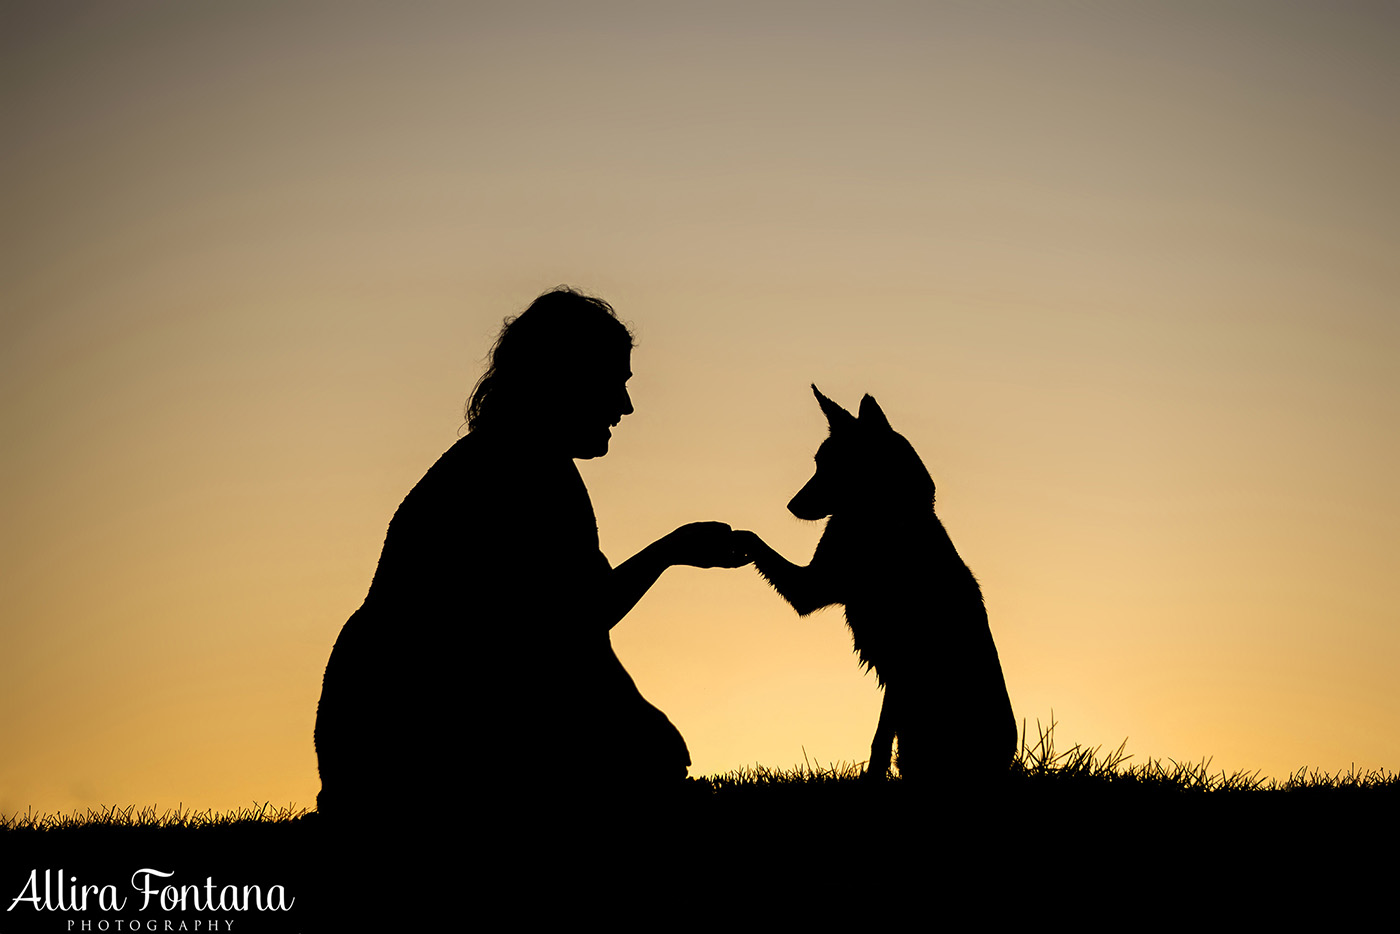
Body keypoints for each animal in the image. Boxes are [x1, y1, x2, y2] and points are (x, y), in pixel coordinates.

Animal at [739, 386, 1013, 784]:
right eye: (818, 462)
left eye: (833, 465)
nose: (791, 505)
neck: (886, 517)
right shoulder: (814, 586)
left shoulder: (810, 590)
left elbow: (752, 539)